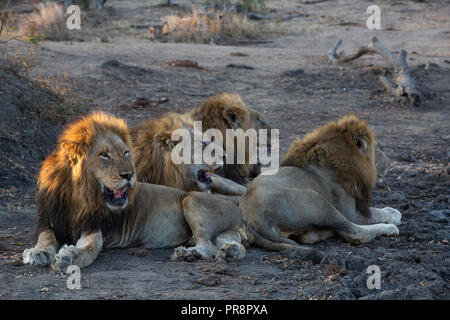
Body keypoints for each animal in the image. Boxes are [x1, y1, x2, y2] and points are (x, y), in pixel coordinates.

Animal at [22, 111, 248, 272]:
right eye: (104, 155)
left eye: (126, 152)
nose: (129, 175)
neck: (79, 196)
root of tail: (239, 214)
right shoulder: (47, 220)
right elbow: (46, 238)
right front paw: (38, 253)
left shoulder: (94, 229)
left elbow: (86, 251)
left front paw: (67, 256)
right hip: (220, 228)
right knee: (230, 243)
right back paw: (228, 252)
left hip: (191, 200)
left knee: (209, 244)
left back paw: (191, 254)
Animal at [241, 114, 402, 256]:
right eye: (376, 149)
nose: (389, 163)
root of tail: (254, 217)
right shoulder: (351, 212)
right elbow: (376, 212)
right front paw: (395, 214)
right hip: (319, 201)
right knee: (354, 232)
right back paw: (390, 228)